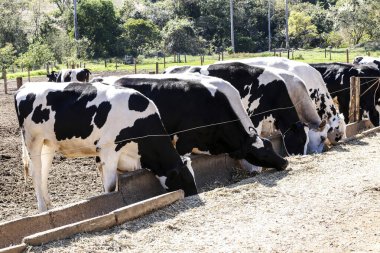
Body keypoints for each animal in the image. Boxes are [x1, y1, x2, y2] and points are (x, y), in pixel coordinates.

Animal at [14, 82, 199, 211]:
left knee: (44, 172)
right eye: (184, 177)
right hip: (33, 140)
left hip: (48, 144)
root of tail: (26, 86)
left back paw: (50, 205)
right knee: (36, 173)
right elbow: (110, 186)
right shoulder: (109, 150)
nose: (195, 194)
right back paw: (42, 209)